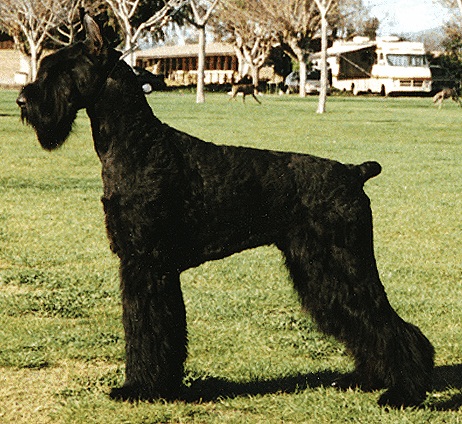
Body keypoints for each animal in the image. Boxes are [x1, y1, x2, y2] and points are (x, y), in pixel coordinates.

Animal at [16, 14, 434, 408]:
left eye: (59, 70)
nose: (23, 101)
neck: (138, 143)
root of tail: (353, 172)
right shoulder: (151, 266)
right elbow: (162, 328)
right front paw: (163, 384)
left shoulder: (145, 262)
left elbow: (146, 327)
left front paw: (139, 388)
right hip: (321, 270)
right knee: (364, 321)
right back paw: (368, 379)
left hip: (343, 263)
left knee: (387, 322)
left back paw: (403, 392)